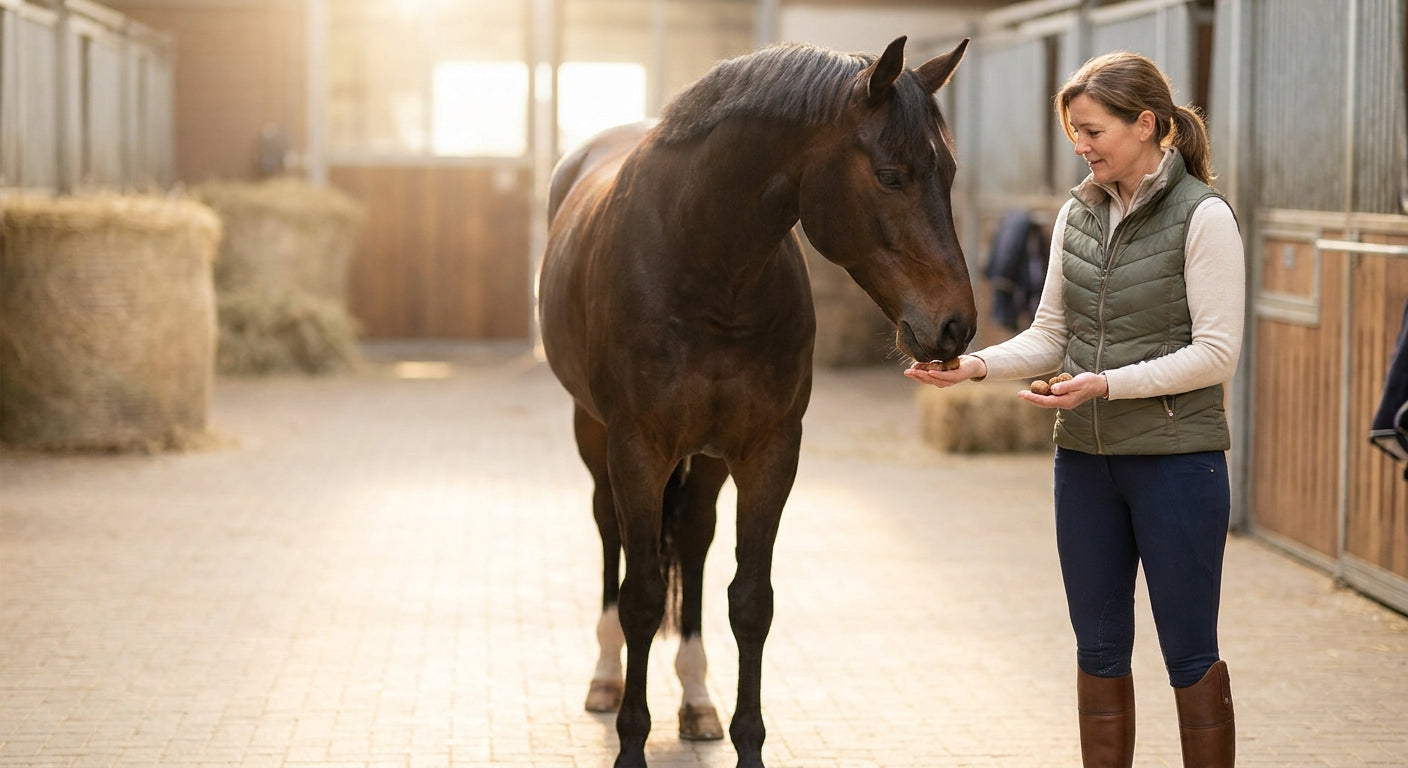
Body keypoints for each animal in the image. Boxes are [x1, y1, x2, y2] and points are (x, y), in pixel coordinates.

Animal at [538, 36, 973, 768]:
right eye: (890, 175)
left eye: (948, 174)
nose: (956, 326)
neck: (705, 267)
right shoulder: (637, 448)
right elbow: (642, 597)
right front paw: (630, 744)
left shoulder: (769, 450)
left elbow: (749, 601)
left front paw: (745, 742)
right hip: (593, 435)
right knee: (609, 534)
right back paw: (603, 679)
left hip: (709, 457)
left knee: (693, 538)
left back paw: (696, 700)